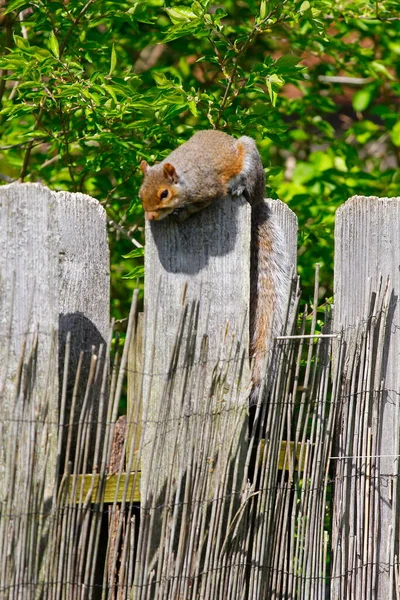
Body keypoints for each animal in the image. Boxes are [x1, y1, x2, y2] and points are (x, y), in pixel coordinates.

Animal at [139, 131, 290, 404]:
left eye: (164, 194)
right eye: (140, 193)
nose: (150, 217)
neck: (184, 179)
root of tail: (259, 200)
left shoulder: (209, 190)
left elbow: (199, 204)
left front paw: (182, 213)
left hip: (250, 161)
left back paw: (240, 188)